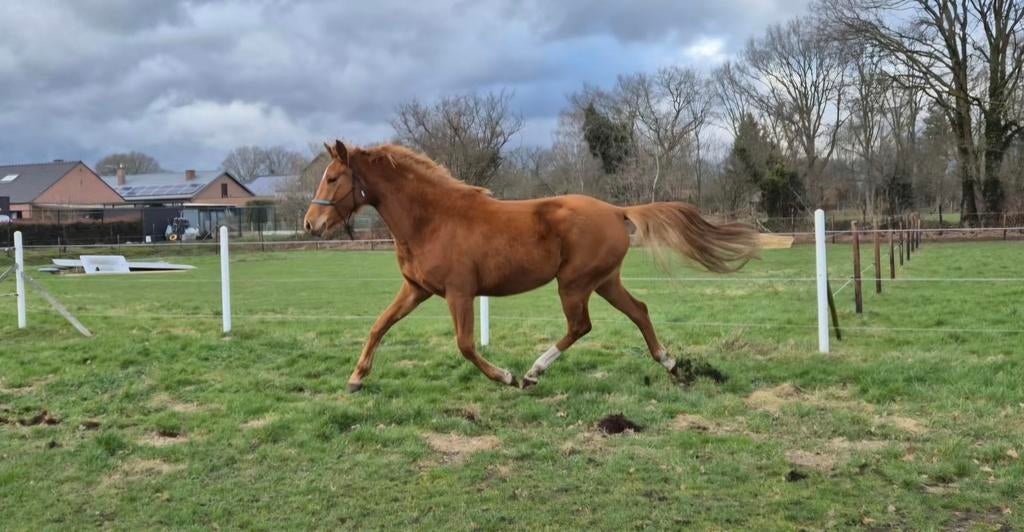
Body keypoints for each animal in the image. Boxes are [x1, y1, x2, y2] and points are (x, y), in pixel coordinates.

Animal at [304, 140, 760, 392]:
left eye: (333, 178)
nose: (311, 224)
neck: (433, 218)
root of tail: (616, 211)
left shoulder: (459, 293)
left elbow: (465, 345)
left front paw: (504, 376)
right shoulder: (416, 289)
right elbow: (379, 325)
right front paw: (356, 378)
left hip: (573, 284)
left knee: (581, 326)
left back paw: (531, 374)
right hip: (604, 282)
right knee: (639, 311)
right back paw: (671, 365)